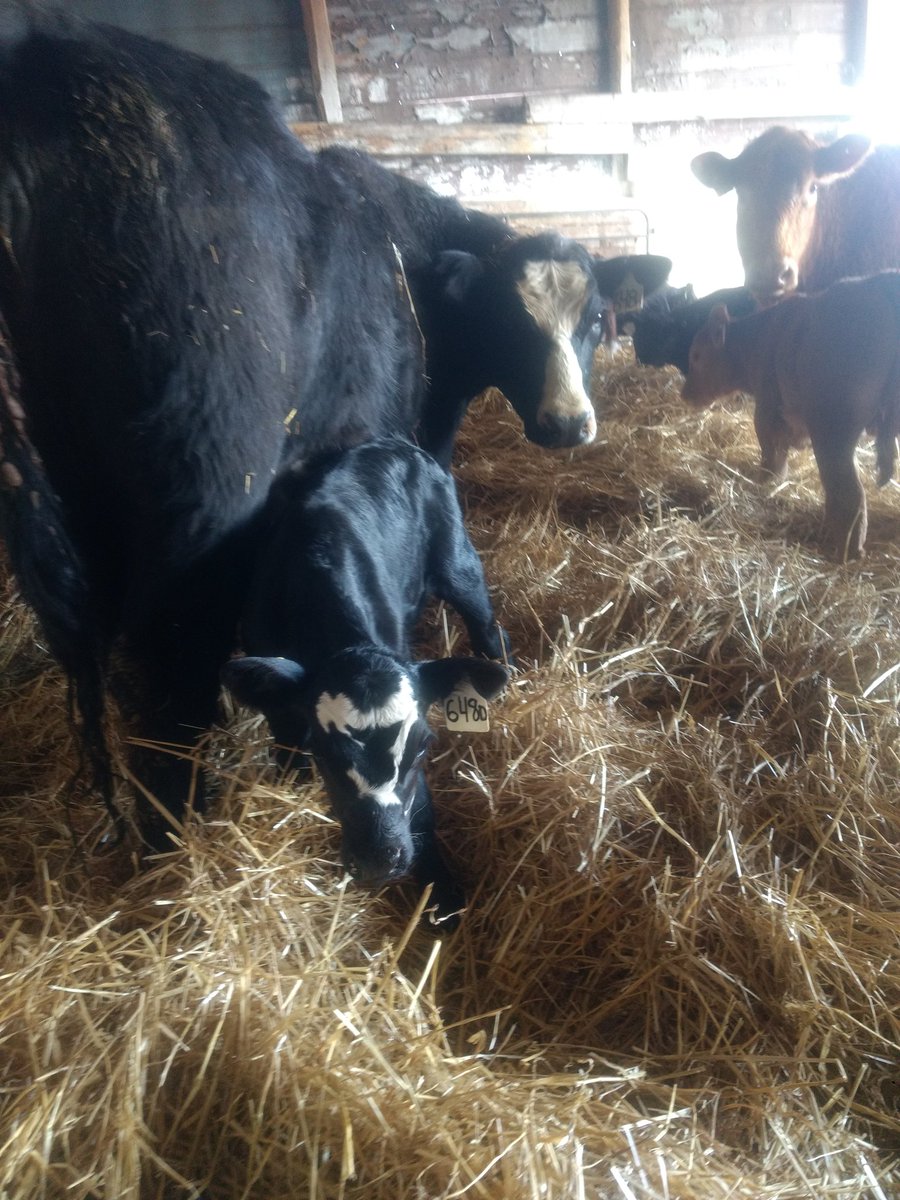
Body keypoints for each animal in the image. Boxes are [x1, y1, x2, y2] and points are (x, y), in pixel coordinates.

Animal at [0, 9, 608, 848]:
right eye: (514, 326)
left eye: (596, 322)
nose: (570, 423)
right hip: (195, 523)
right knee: (170, 692)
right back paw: (176, 838)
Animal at [222, 436, 510, 927]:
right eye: (321, 751)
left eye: (424, 747)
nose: (379, 859)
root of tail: (391, 442)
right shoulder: (282, 709)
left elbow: (422, 811)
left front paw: (443, 896)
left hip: (458, 560)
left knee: (485, 625)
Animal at [680, 271, 900, 560]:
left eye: (696, 355)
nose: (684, 393)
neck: (758, 340)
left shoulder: (767, 410)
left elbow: (772, 453)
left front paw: (766, 481)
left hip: (833, 430)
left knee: (850, 495)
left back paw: (844, 552)